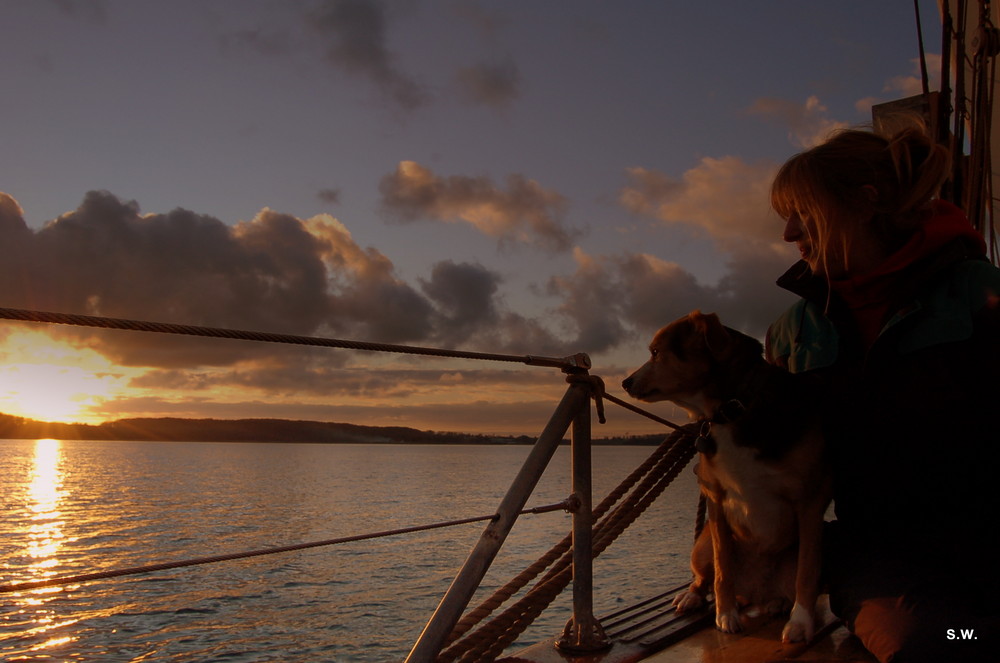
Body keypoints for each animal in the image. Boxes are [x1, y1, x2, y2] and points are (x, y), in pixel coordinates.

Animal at [624, 312, 828, 644]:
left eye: (655, 352)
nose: (625, 382)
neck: (734, 408)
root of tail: (755, 593)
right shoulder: (716, 498)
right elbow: (723, 570)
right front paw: (725, 614)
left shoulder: (810, 501)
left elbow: (807, 573)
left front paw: (801, 622)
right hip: (702, 543)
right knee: (703, 577)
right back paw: (692, 596)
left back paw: (779, 603)